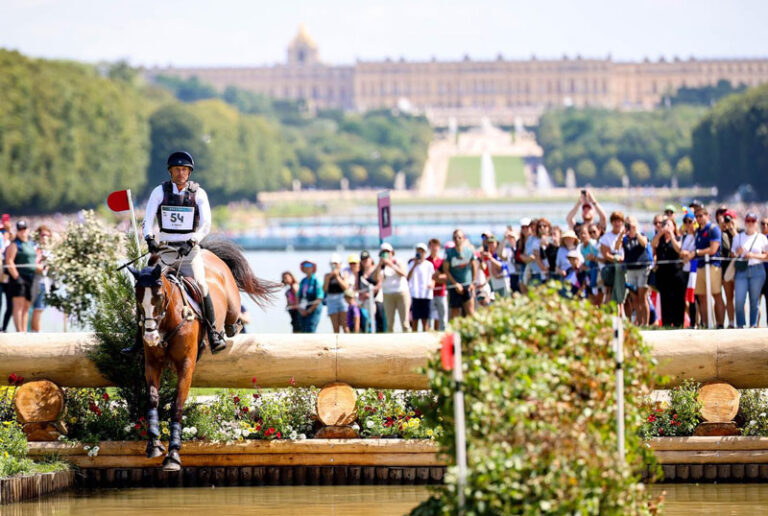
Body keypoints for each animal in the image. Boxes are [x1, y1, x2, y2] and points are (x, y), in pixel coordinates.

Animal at [129, 236, 276, 470]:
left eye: (159, 296)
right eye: (137, 297)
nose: (151, 337)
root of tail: (209, 253)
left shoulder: (186, 364)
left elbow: (177, 405)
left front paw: (173, 455)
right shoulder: (152, 363)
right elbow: (152, 399)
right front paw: (154, 445)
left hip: (231, 307)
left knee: (234, 323)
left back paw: (221, 336)